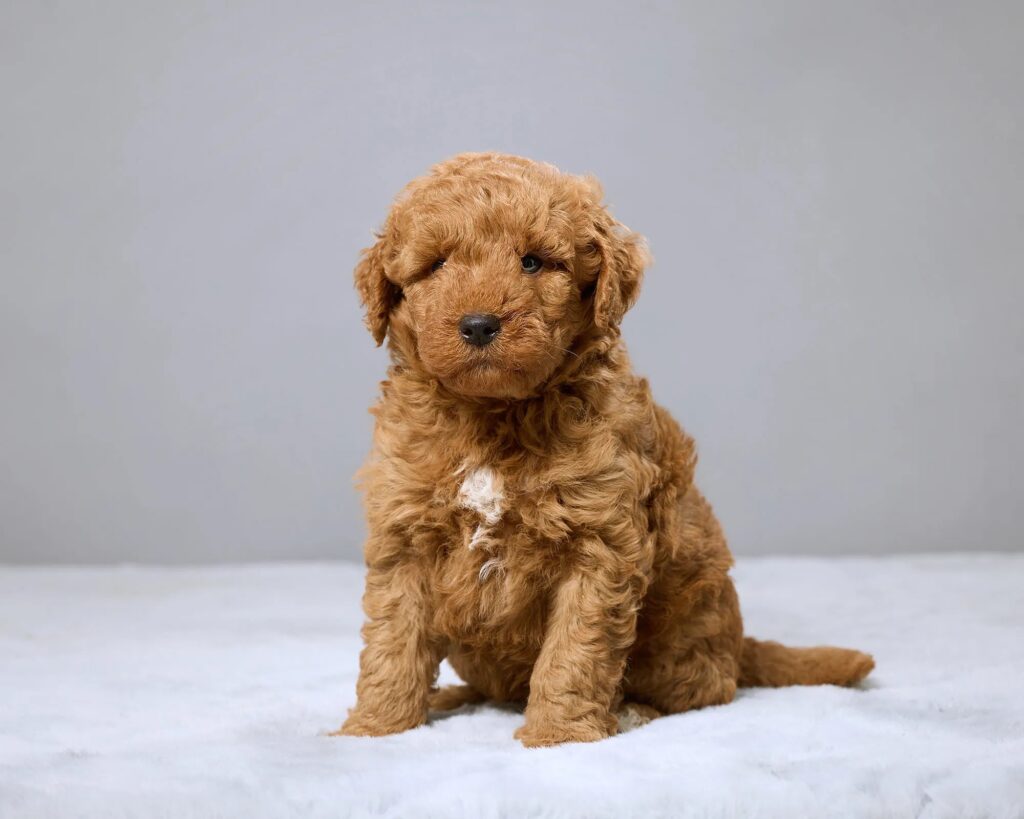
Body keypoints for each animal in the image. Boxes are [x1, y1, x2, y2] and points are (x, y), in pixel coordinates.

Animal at [337, 150, 872, 745]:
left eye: (532, 262)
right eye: (436, 265)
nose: (478, 325)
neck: (493, 416)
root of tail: (739, 643)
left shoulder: (600, 540)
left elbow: (574, 650)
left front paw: (558, 736)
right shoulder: (403, 534)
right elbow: (393, 642)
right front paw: (374, 728)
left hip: (689, 625)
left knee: (706, 689)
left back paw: (632, 710)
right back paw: (453, 698)